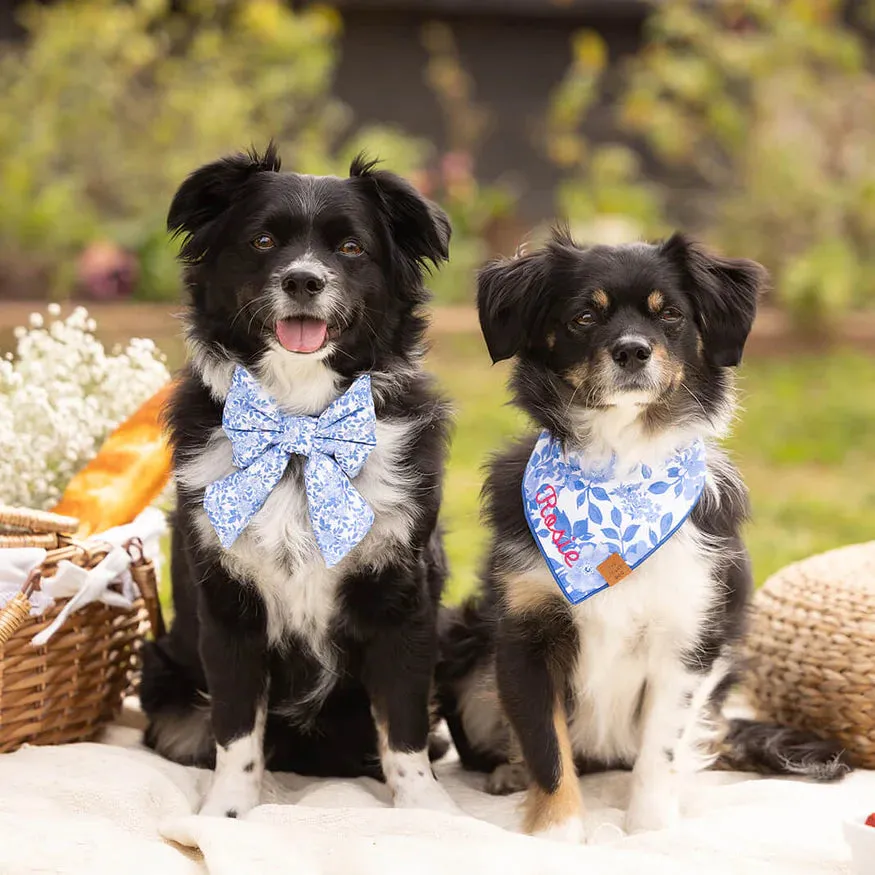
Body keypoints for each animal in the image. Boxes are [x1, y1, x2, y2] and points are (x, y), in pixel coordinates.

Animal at [139, 145, 458, 820]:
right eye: (262, 240)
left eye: (352, 248)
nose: (303, 281)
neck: (300, 419)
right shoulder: (228, 608)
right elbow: (237, 731)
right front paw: (229, 814)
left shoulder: (403, 603)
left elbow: (406, 728)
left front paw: (426, 810)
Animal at [438, 229, 848, 844]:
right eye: (584, 315)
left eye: (670, 314)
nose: (632, 351)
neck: (619, 472)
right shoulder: (523, 637)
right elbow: (546, 747)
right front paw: (558, 835)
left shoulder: (688, 638)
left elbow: (663, 749)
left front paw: (651, 828)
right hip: (463, 639)